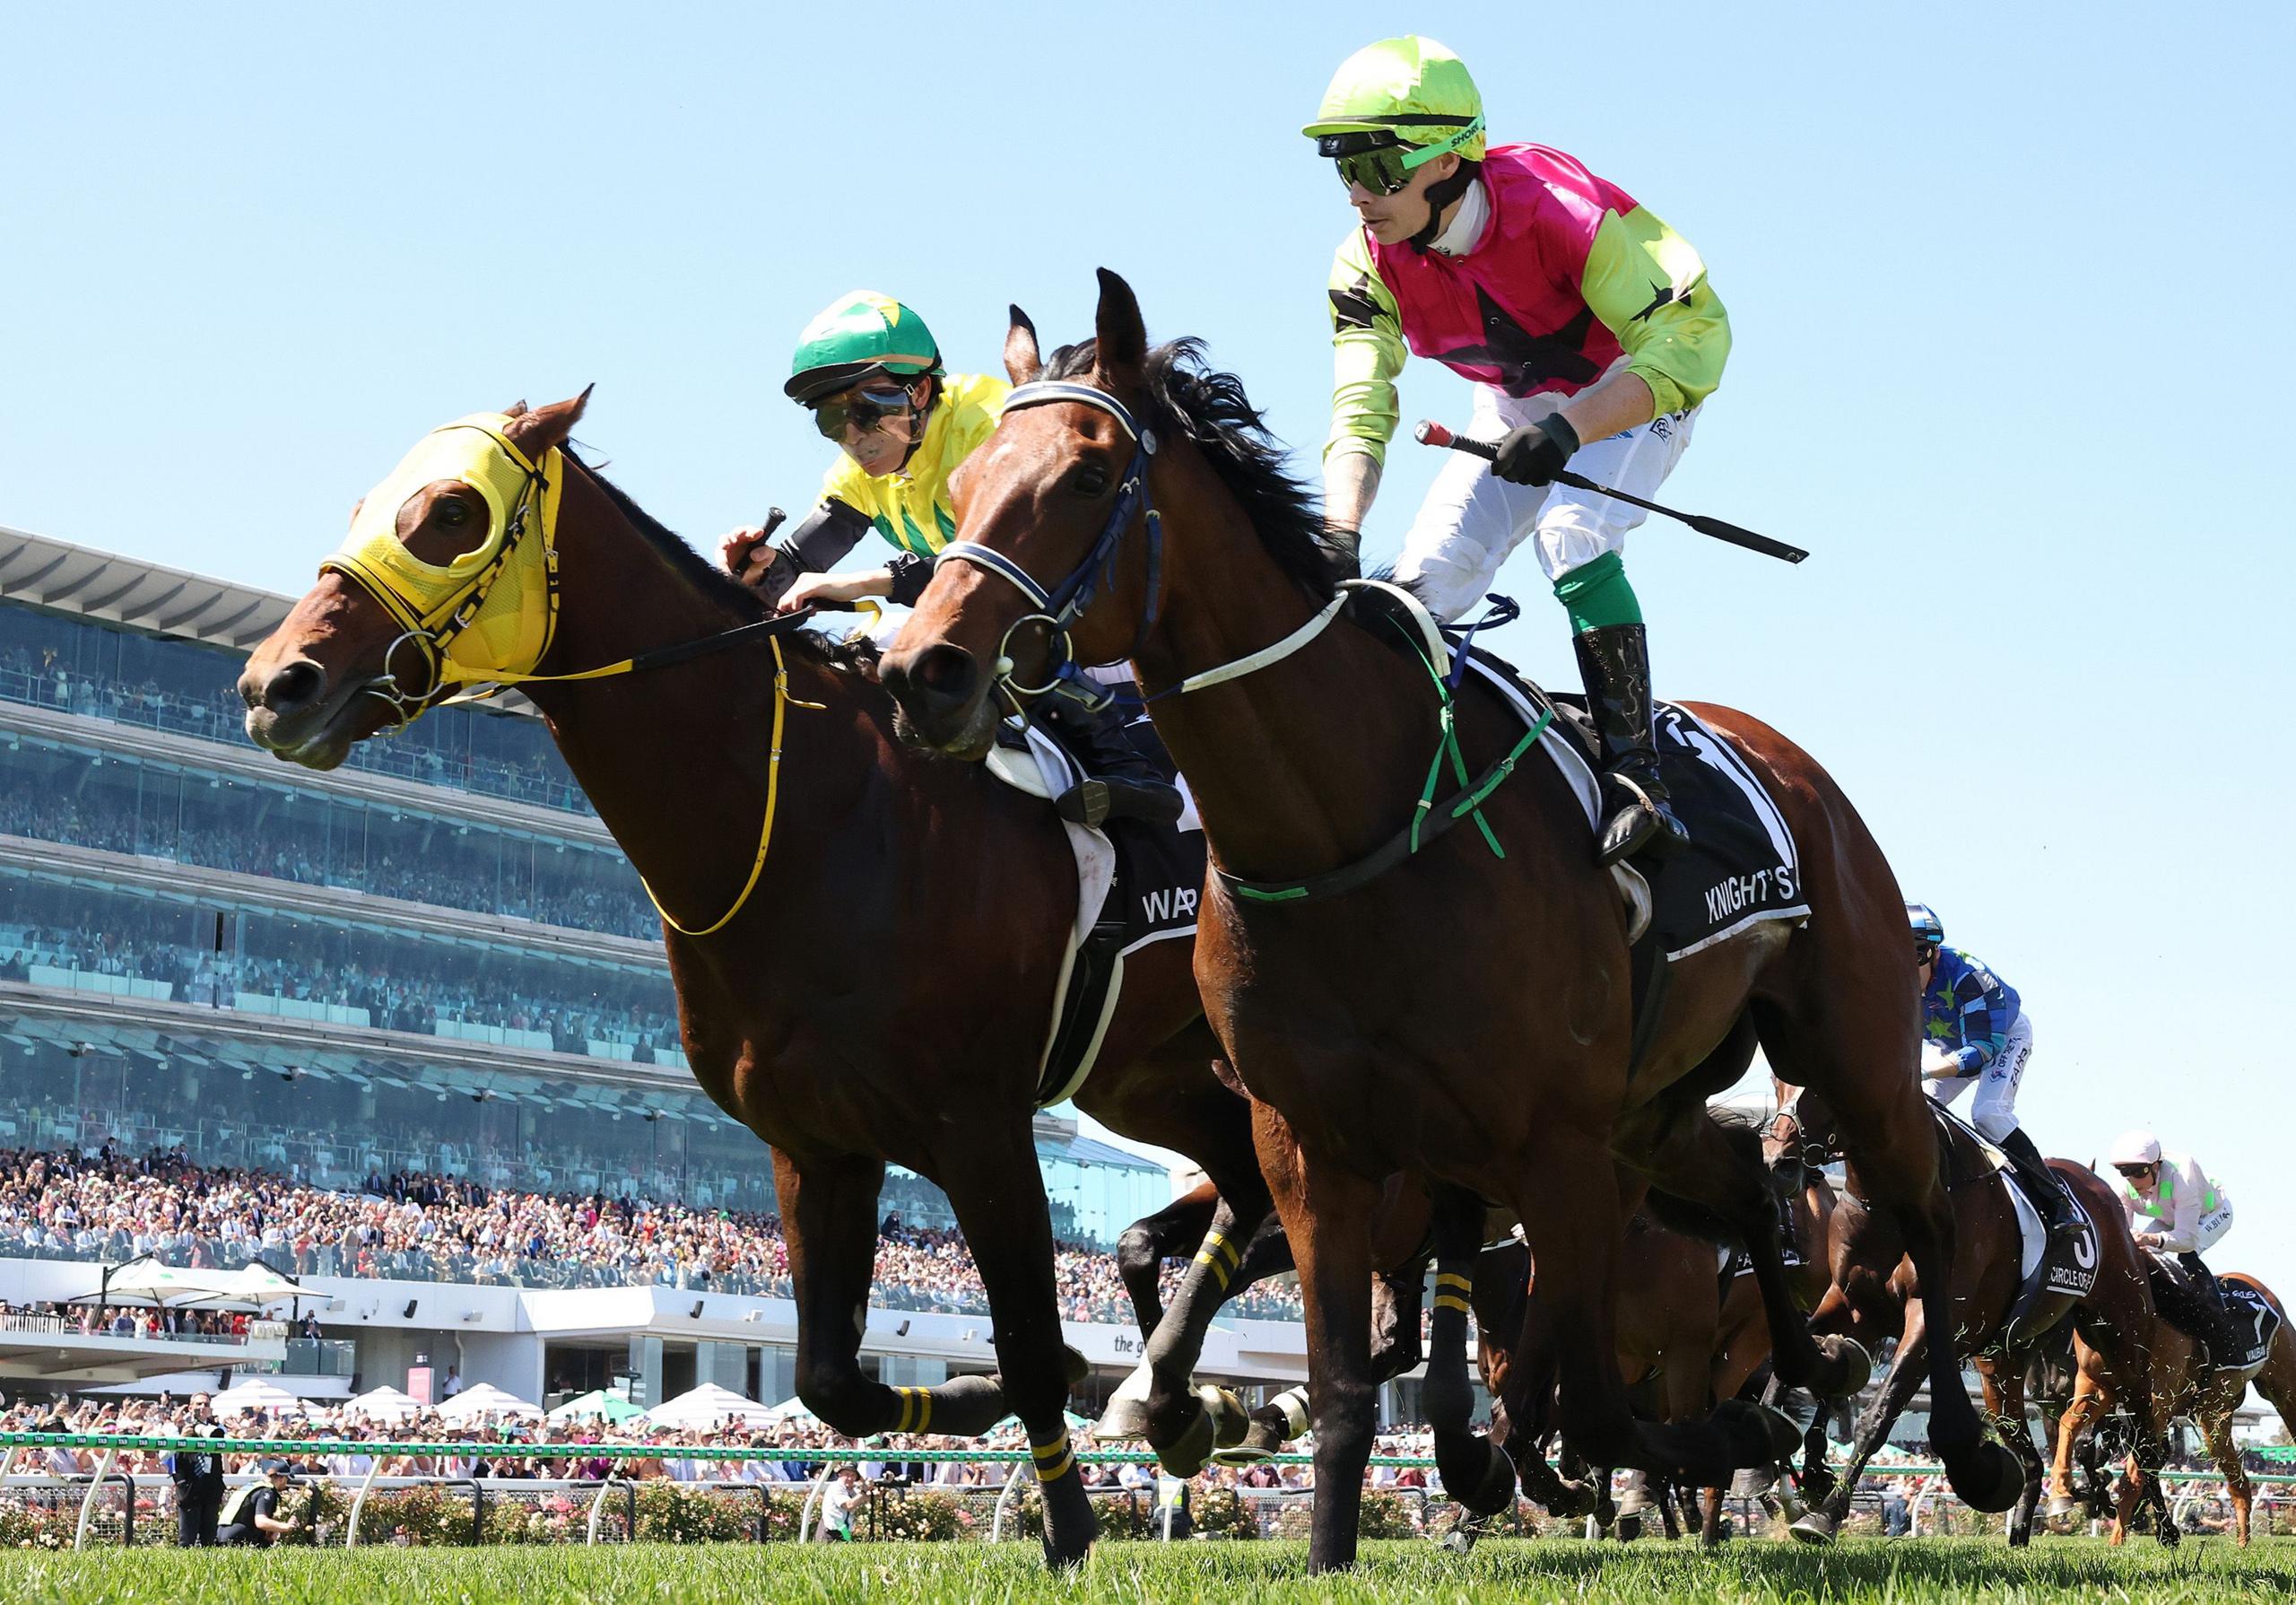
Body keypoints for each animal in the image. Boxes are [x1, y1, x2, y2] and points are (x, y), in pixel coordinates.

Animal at [237, 399, 1276, 1570]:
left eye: (453, 512)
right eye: (365, 502)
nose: (275, 684)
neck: (818, 820)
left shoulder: (980, 1127)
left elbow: (1022, 1339)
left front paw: (1069, 1523)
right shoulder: (816, 1143)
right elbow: (834, 1381)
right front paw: (1013, 1403)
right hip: (1151, 1079)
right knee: (1235, 1197)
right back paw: (1192, 1395)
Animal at [872, 273, 2011, 1570]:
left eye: (1086, 475)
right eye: (965, 480)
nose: (923, 671)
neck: (1342, 828)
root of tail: (1784, 759)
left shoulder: (1547, 1144)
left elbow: (1584, 1395)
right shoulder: (1314, 1144)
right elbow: (1361, 1378)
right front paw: (1312, 1519)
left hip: (1848, 1055)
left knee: (1921, 1216)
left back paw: (1950, 1443)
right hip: (1651, 1116)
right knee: (1746, 1196)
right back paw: (1794, 1373)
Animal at [2057, 1277, 2286, 1552]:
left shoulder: (2155, 1403)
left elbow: (2138, 1469)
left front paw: (2155, 1529)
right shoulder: (2103, 1393)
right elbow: (2082, 1441)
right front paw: (2088, 1493)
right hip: (2209, 1414)